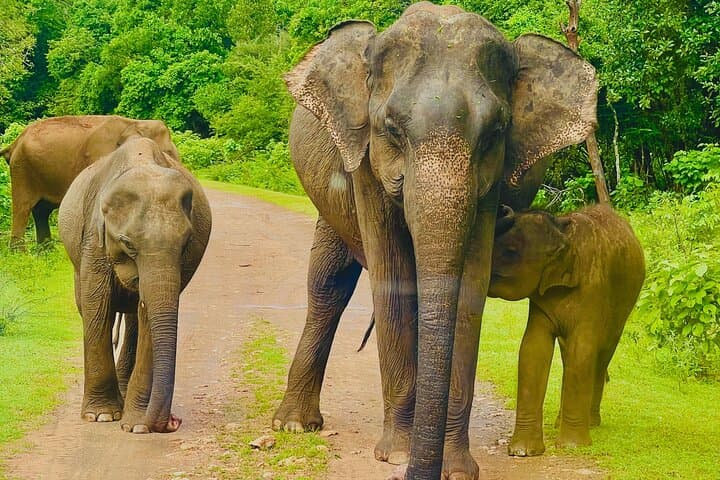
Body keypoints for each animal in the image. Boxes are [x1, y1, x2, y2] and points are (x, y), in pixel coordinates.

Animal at [0, 115, 178, 247]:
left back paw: (45, 251)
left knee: (41, 211)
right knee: (22, 208)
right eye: (166, 153)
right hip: (21, 170)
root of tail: (13, 144)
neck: (135, 122)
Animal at [58, 137, 211, 433]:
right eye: (127, 243)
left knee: (133, 322)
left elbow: (148, 316)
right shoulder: (94, 237)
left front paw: (138, 425)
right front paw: (101, 415)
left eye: (186, 243)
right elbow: (97, 306)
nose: (172, 422)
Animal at [272, 2, 598, 478]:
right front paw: (398, 454)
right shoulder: (365, 165)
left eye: (495, 133)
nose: (412, 468)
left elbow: (470, 289)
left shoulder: (488, 188)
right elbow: (392, 278)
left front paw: (456, 468)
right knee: (328, 284)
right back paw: (294, 425)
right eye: (391, 129)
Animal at [488, 204, 645, 456]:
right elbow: (533, 348)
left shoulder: (593, 288)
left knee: (601, 354)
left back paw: (592, 423)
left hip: (623, 307)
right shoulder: (541, 297)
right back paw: (560, 422)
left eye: (511, 251)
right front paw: (523, 452)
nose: (503, 207)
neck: (563, 231)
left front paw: (573, 446)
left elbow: (582, 349)